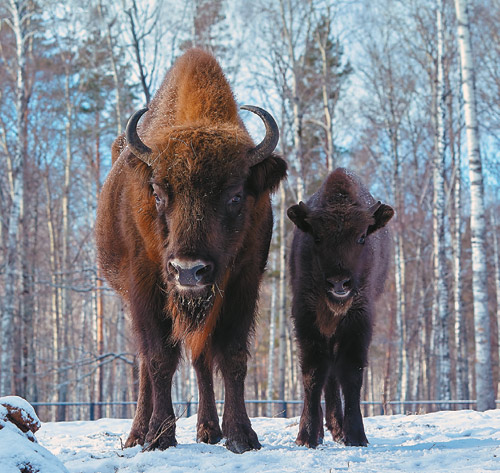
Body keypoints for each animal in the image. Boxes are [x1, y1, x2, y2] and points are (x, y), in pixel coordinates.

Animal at [95, 48, 288, 454]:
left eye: (235, 195)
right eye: (157, 192)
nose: (188, 270)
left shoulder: (243, 282)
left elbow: (231, 356)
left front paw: (241, 436)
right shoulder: (146, 286)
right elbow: (159, 358)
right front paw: (159, 437)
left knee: (201, 361)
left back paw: (208, 431)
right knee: (146, 364)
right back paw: (138, 433)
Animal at [288, 169, 392, 446]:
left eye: (362, 236)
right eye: (317, 237)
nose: (339, 282)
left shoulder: (360, 318)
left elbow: (351, 372)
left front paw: (355, 435)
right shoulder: (306, 315)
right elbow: (313, 373)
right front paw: (307, 435)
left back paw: (337, 428)